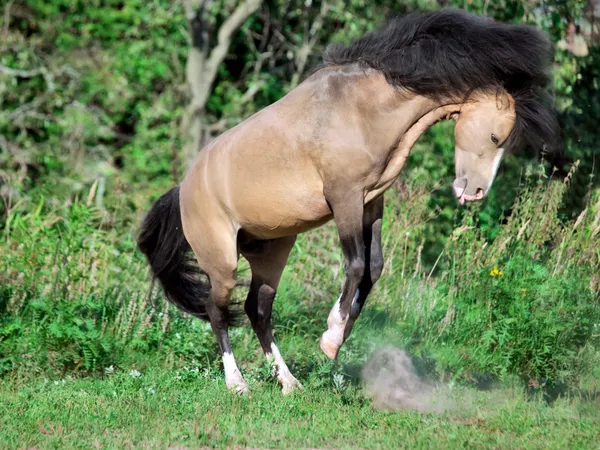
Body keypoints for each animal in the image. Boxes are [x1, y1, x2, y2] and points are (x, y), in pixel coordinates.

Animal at [137, 7, 556, 394]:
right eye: (496, 137)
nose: (476, 192)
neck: (363, 109)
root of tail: (183, 189)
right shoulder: (345, 200)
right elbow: (355, 266)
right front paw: (331, 338)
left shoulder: (372, 202)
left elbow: (374, 268)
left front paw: (338, 336)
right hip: (222, 262)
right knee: (217, 310)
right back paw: (237, 383)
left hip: (271, 253)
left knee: (258, 309)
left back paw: (288, 382)